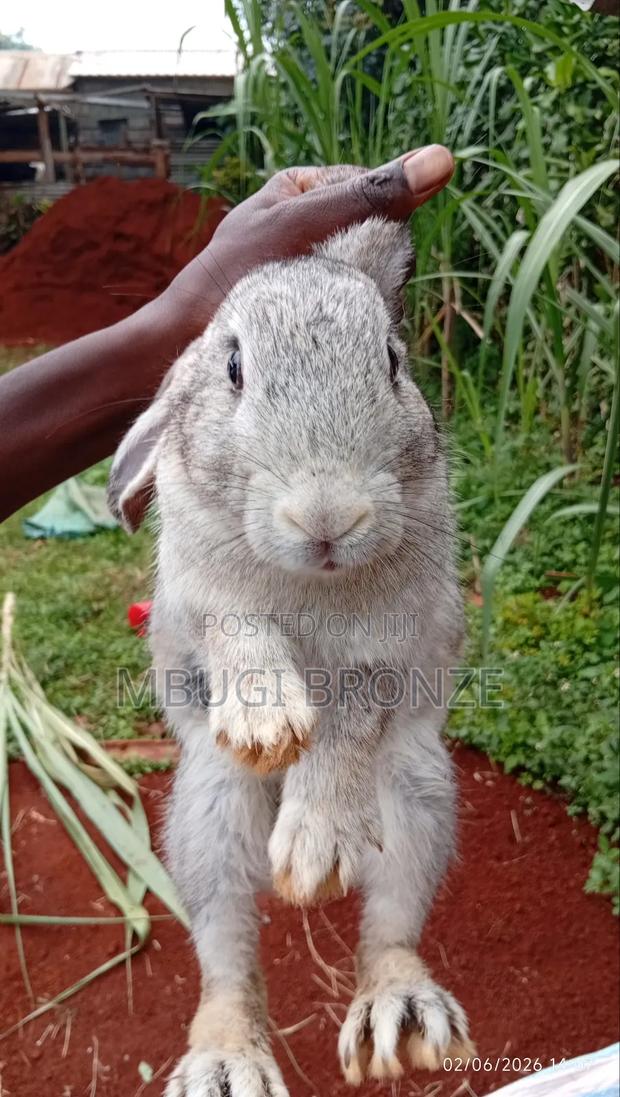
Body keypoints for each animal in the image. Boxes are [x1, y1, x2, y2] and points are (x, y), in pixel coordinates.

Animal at [108, 217, 473, 1097]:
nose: (328, 516)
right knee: (226, 950)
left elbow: (346, 724)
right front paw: (268, 726)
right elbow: (240, 636)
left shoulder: (388, 653)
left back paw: (401, 1020)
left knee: (391, 922)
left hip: (418, 791)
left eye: (393, 361)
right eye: (234, 367)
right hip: (205, 810)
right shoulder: (205, 602)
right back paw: (225, 1061)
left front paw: (312, 857)